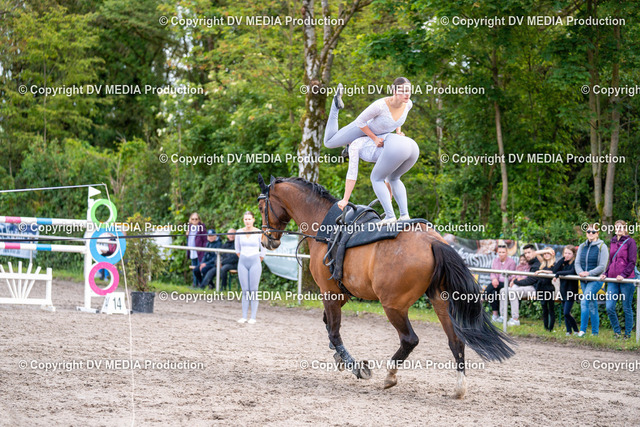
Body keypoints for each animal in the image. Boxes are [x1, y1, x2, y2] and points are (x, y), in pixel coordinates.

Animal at [257, 175, 514, 398]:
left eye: (261, 207)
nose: (267, 241)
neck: (325, 225)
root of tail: (433, 241)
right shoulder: (341, 293)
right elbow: (327, 324)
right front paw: (338, 357)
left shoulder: (329, 293)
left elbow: (334, 330)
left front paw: (355, 366)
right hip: (441, 302)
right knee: (456, 340)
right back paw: (459, 387)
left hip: (393, 306)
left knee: (410, 339)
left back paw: (390, 375)